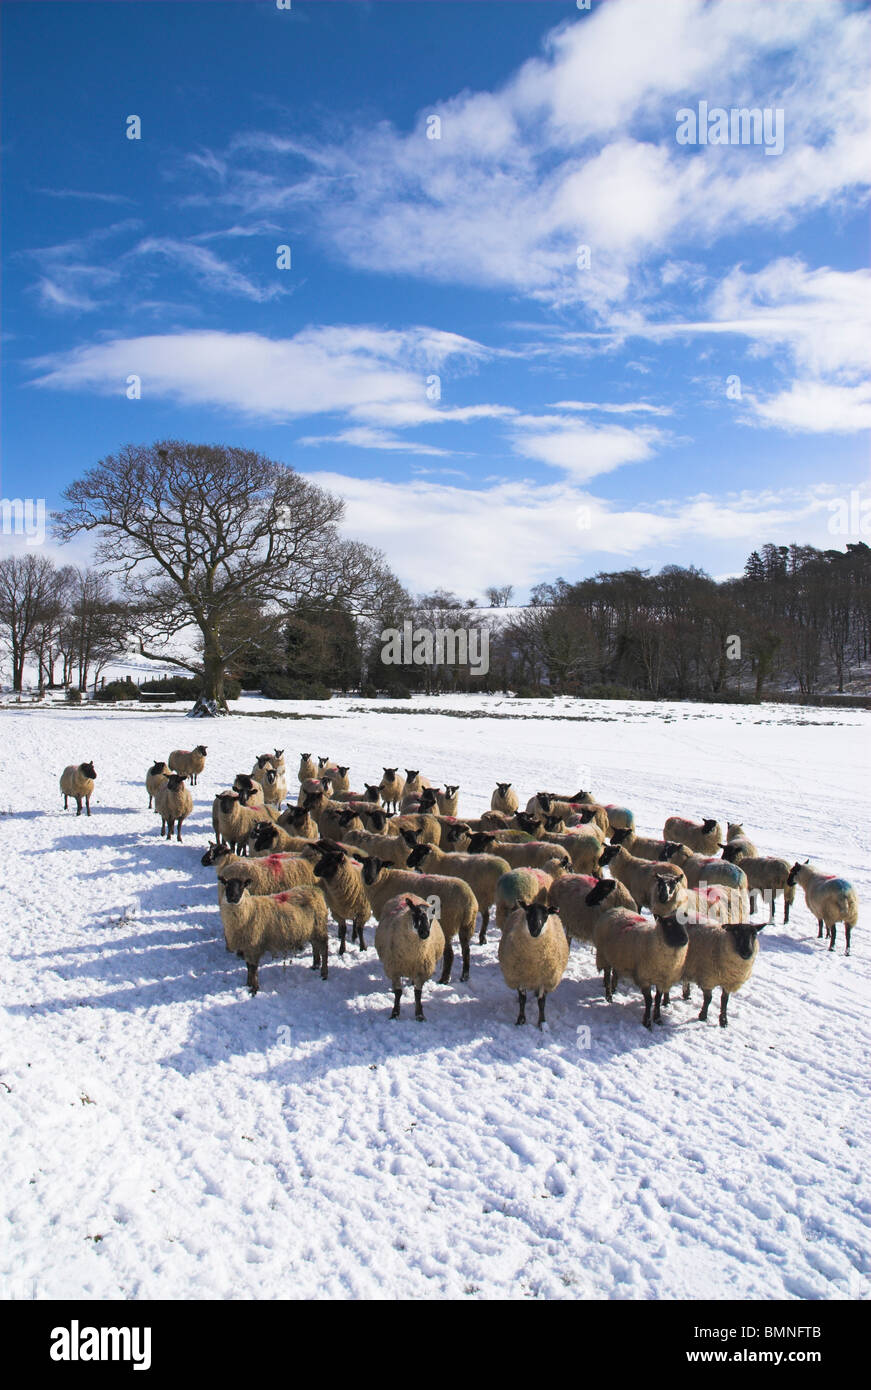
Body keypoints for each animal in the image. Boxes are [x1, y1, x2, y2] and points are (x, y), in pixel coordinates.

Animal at [361, 850, 477, 984]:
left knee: (449, 954)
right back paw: (465, 976)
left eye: (379, 865)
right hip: (467, 925)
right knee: (466, 950)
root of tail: (468, 899)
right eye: (365, 864)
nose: (369, 879)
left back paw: (444, 979)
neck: (384, 880)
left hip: (448, 926)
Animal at [375, 889, 447, 1023]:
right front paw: (395, 1014)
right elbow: (398, 992)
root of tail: (408, 893)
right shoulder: (394, 970)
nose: (425, 933)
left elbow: (418, 994)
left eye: (432, 917)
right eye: (415, 914)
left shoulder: (422, 971)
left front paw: (420, 1015)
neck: (412, 954)